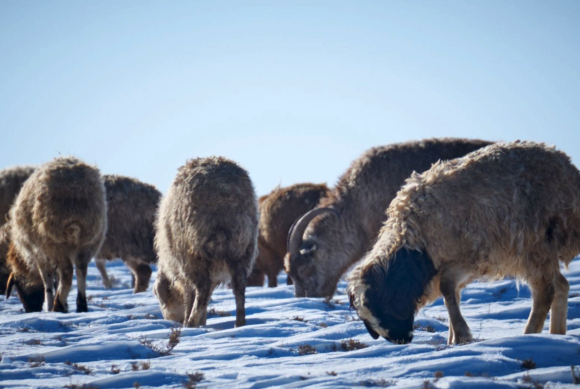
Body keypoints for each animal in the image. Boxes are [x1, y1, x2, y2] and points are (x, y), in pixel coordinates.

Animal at [6, 156, 107, 310]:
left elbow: (47, 281)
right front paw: (64, 304)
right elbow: (55, 280)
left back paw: (57, 306)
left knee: (67, 273)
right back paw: (81, 305)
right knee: (81, 269)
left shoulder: (39, 254)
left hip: (55, 240)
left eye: (17, 286)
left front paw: (50, 306)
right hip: (89, 239)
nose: (31, 310)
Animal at [153, 156, 258, 326]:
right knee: (239, 287)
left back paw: (190, 322)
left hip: (194, 250)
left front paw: (192, 321)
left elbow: (190, 295)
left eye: (157, 294)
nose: (172, 320)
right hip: (243, 249)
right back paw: (239, 323)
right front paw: (203, 321)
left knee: (202, 289)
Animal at [346, 141, 580, 344]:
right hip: (540, 250)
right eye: (367, 320)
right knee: (561, 285)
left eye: (384, 307)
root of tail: (569, 170)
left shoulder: (468, 257)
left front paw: (461, 335)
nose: (401, 340)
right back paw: (557, 335)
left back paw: (530, 335)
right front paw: (454, 339)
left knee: (545, 292)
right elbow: (451, 293)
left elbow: (448, 290)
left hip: (534, 244)